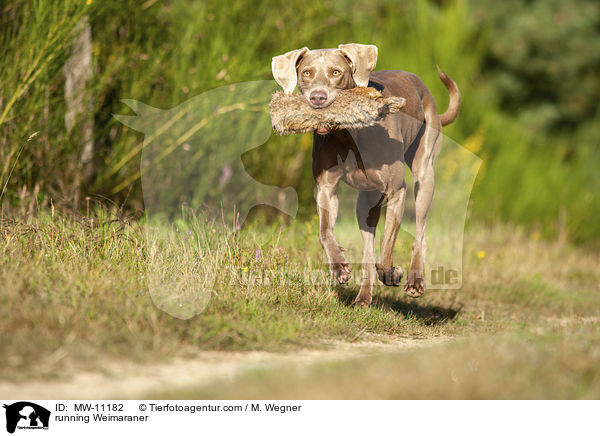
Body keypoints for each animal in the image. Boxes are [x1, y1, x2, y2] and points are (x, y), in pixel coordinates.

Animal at [272, 42, 460, 304]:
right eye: (306, 73)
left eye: (336, 72)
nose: (317, 97)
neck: (347, 134)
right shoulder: (326, 188)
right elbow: (324, 232)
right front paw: (339, 267)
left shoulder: (396, 191)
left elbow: (387, 247)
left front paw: (392, 273)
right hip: (366, 203)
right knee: (368, 249)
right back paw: (363, 297)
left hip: (425, 172)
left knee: (420, 232)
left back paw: (414, 279)